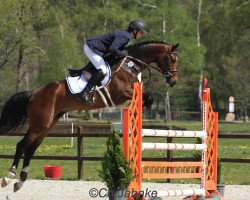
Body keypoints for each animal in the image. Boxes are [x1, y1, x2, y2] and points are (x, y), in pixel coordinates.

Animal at [0, 39, 180, 191]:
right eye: (172, 59)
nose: (174, 81)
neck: (129, 66)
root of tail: (33, 93)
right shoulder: (121, 94)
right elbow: (145, 96)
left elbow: (148, 98)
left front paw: (144, 108)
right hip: (39, 124)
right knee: (22, 145)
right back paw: (8, 177)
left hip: (47, 125)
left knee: (31, 149)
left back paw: (20, 181)